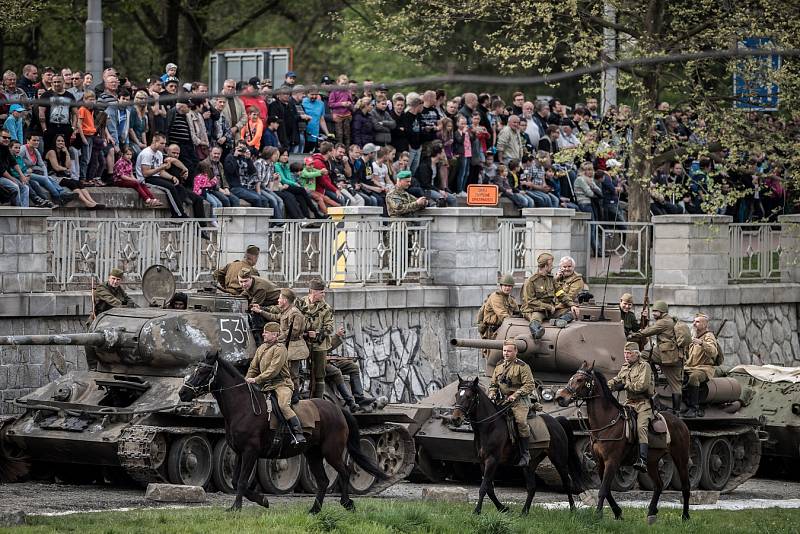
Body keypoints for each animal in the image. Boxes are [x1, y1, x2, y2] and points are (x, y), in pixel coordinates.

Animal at [180, 352, 386, 516]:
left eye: (202, 371)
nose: (182, 393)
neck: (244, 407)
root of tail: (337, 409)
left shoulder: (250, 452)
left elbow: (242, 481)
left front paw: (237, 507)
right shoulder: (239, 452)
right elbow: (237, 480)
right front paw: (261, 500)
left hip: (331, 452)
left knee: (345, 472)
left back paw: (347, 503)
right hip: (313, 454)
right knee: (323, 480)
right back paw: (315, 509)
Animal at [450, 376, 580, 516]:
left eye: (469, 396)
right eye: (456, 395)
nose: (455, 419)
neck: (490, 427)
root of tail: (556, 422)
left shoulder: (492, 460)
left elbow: (484, 487)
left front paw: (477, 511)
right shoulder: (482, 462)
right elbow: (489, 488)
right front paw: (503, 508)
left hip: (559, 460)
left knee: (566, 482)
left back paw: (573, 509)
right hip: (530, 464)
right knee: (532, 487)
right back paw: (524, 512)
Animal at [552, 362, 692, 524]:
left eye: (580, 380)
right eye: (572, 377)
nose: (560, 397)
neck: (607, 422)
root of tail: (680, 422)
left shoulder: (612, 461)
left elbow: (603, 489)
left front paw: (598, 514)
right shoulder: (600, 463)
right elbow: (606, 490)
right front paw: (618, 512)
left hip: (680, 458)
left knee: (685, 487)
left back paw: (685, 516)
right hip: (651, 462)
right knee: (658, 485)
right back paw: (651, 512)